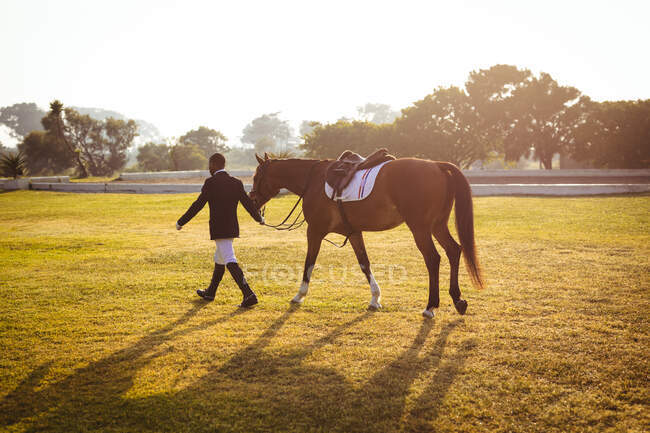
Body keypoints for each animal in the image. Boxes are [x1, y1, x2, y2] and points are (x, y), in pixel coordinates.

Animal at [248, 154, 480, 316]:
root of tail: (437, 165)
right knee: (453, 250)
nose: (252, 201)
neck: (313, 180)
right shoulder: (353, 233)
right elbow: (364, 263)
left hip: (420, 228)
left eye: (256, 176)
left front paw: (299, 295)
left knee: (433, 259)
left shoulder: (314, 231)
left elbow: (309, 262)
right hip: (437, 226)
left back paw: (431, 306)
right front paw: (375, 298)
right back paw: (458, 299)